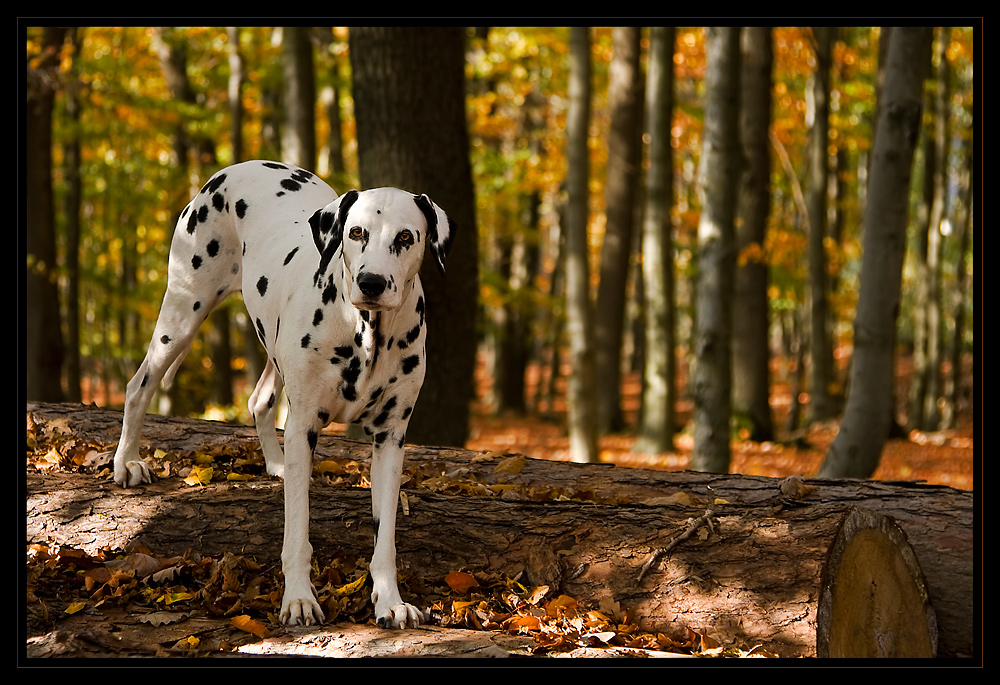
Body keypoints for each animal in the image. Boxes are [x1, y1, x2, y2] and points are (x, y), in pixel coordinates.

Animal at [111, 159, 452, 624]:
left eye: (405, 237)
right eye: (356, 232)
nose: (371, 282)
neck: (366, 333)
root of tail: (232, 170)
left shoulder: (390, 440)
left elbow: (385, 540)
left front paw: (391, 602)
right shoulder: (305, 426)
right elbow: (297, 533)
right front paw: (299, 599)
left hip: (271, 349)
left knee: (260, 401)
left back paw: (276, 463)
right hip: (182, 313)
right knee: (138, 385)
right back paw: (127, 462)